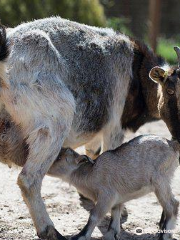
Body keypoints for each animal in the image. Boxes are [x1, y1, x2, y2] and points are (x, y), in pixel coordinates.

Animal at [48, 135, 179, 240]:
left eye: (59, 158)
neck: (91, 173)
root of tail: (172, 144)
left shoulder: (106, 196)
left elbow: (94, 216)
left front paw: (80, 236)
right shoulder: (117, 199)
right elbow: (114, 220)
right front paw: (112, 235)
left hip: (160, 182)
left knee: (172, 205)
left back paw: (164, 235)